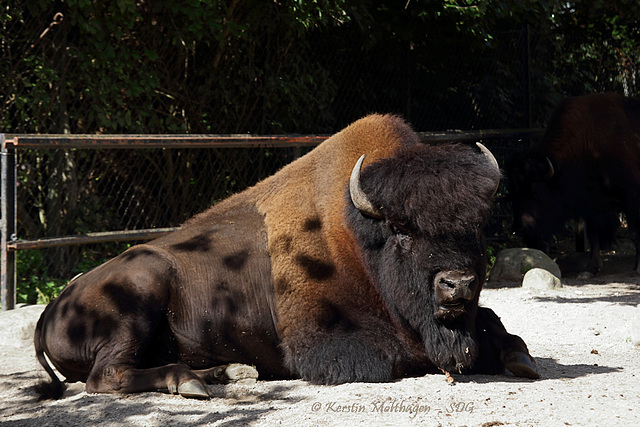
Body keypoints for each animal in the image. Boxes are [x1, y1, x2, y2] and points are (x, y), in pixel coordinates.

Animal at [36, 114, 540, 402]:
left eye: (476, 224)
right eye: (401, 229)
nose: (457, 284)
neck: (354, 237)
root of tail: (50, 310)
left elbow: (495, 324)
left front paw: (520, 356)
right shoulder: (324, 345)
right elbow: (394, 357)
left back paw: (228, 372)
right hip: (141, 289)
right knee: (106, 376)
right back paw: (191, 382)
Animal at [508, 93, 636, 278]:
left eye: (535, 190)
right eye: (512, 192)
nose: (520, 229)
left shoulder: (630, 195)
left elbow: (634, 232)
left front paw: (636, 268)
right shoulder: (590, 205)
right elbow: (593, 235)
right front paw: (591, 268)